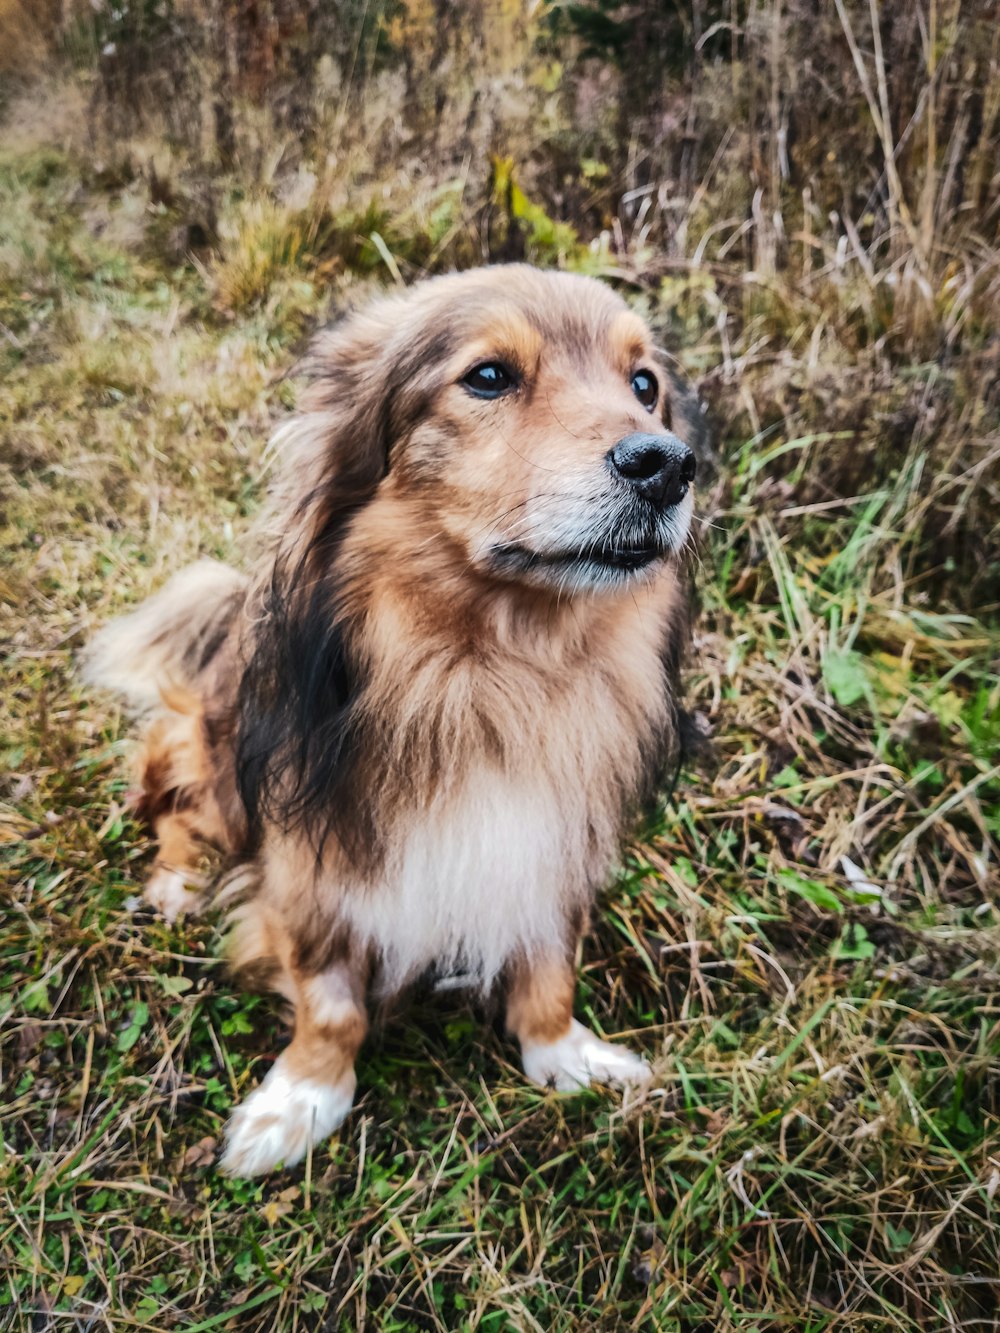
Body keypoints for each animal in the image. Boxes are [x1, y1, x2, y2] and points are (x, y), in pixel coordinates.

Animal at [84, 262, 698, 1178]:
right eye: (488, 376)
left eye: (645, 385)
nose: (668, 465)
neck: (495, 673)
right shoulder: (312, 868)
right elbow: (331, 1001)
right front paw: (303, 1098)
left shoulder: (549, 851)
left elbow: (549, 967)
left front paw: (563, 1053)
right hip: (215, 760)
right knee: (174, 809)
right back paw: (178, 882)